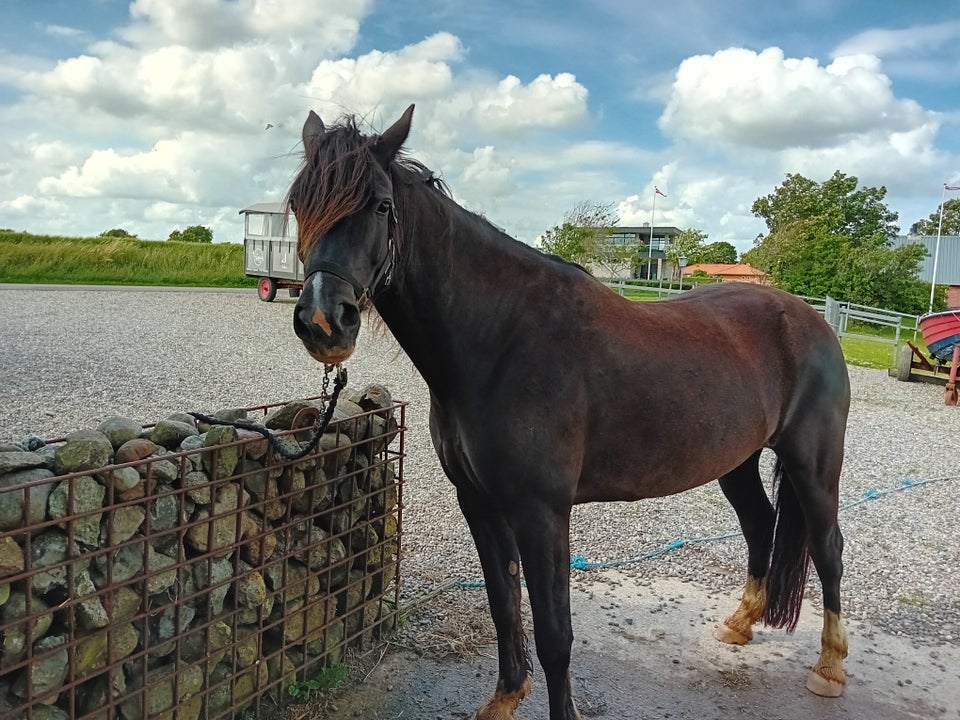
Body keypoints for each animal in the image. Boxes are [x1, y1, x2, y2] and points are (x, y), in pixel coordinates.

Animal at [284, 104, 848, 716]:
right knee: (760, 525)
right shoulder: (479, 503)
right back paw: (740, 624)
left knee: (829, 548)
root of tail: (813, 322)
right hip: (736, 462)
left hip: (813, 466)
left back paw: (830, 668)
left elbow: (555, 633)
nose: (324, 322)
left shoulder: (542, 511)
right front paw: (505, 697)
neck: (500, 339)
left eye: (381, 206)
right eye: (298, 205)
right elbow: (504, 604)